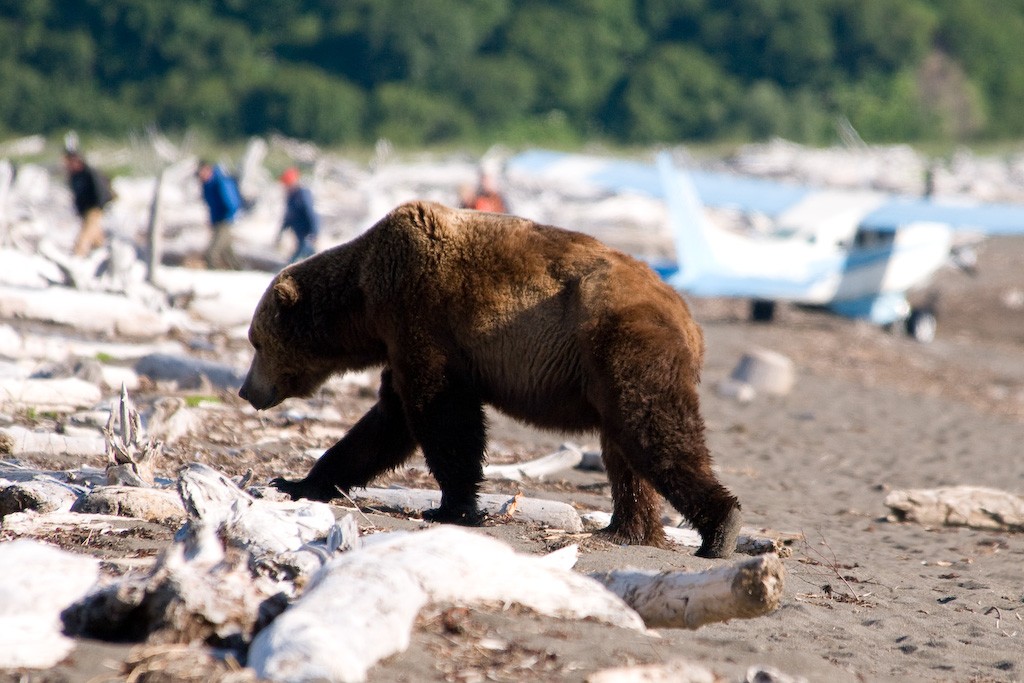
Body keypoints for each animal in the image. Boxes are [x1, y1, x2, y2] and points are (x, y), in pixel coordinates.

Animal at [237, 197, 745, 557]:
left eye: (255, 341)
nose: (246, 390)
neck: (363, 296)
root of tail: (690, 318)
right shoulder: (403, 335)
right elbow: (385, 423)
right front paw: (297, 482)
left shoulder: (423, 314)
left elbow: (440, 414)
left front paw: (453, 506)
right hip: (610, 368)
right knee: (624, 449)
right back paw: (626, 529)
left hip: (622, 343)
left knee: (655, 431)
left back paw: (720, 527)